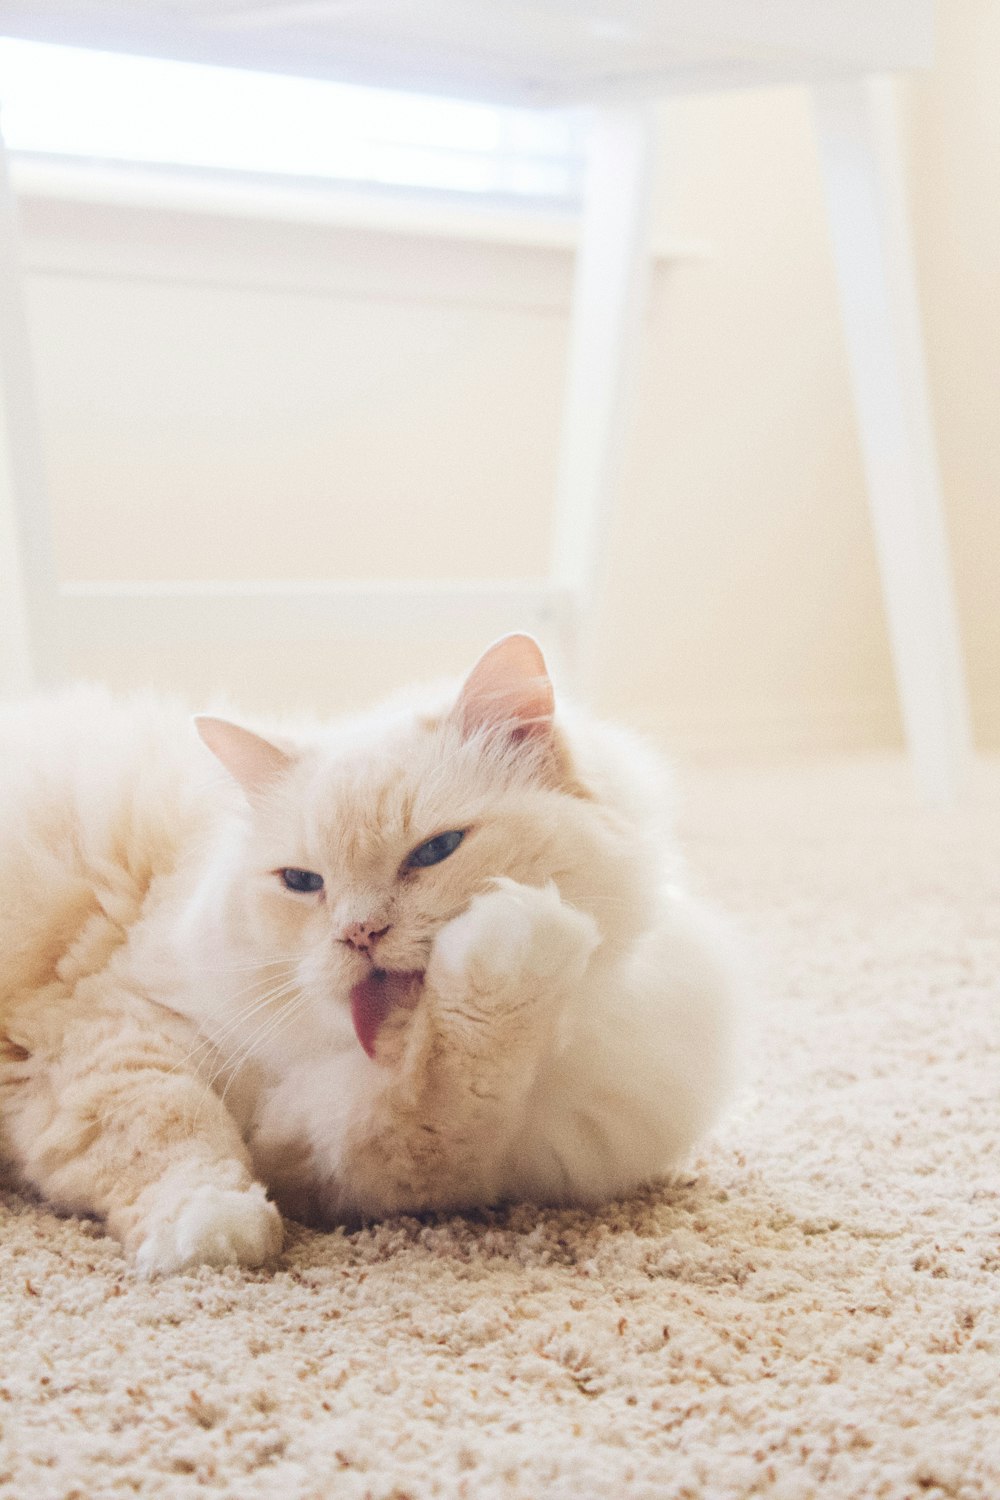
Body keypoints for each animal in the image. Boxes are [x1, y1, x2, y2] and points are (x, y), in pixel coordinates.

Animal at [1, 633, 743, 1278]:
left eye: (436, 851)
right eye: (303, 882)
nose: (359, 934)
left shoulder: (355, 1161)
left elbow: (435, 1115)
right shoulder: (112, 1026)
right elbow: (166, 1124)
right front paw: (209, 1226)